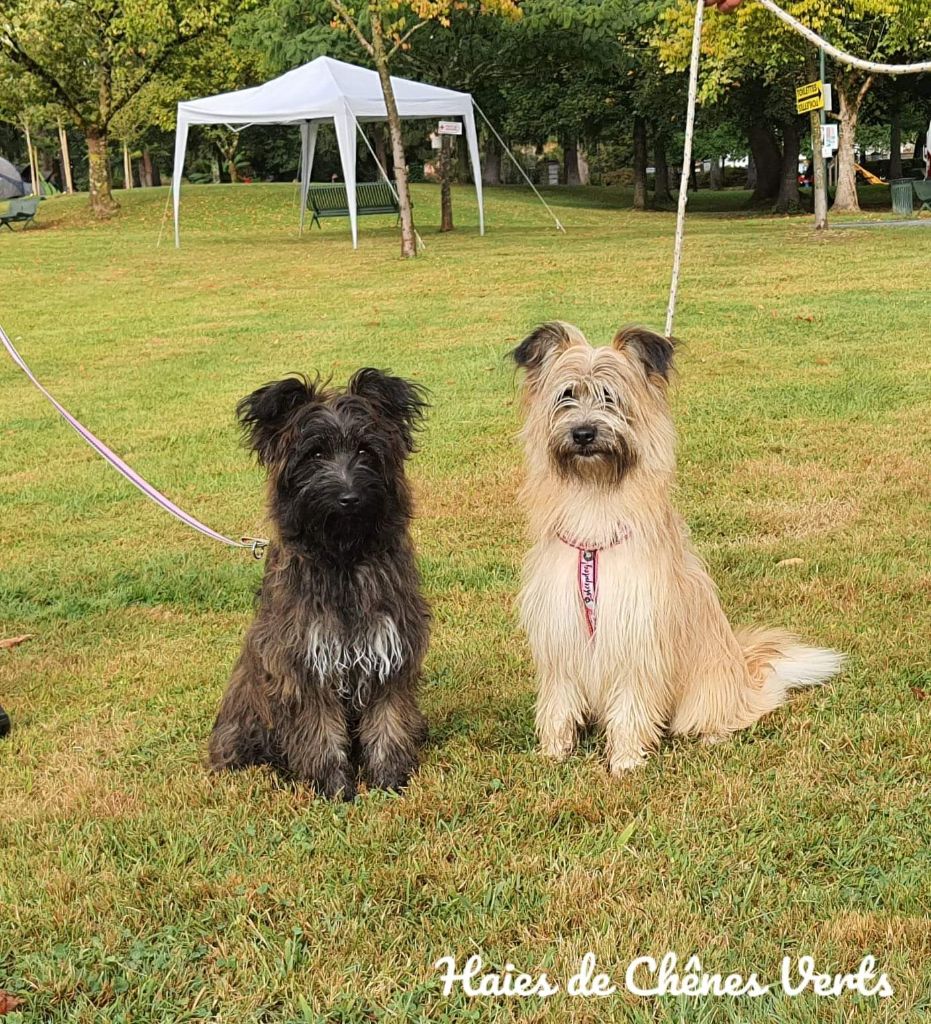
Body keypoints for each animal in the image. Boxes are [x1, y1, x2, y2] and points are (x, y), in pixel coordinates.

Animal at [208, 368, 430, 798]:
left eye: (365, 451)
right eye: (314, 454)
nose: (349, 497)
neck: (343, 558)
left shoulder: (390, 651)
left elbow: (388, 721)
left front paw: (388, 781)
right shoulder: (304, 664)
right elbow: (320, 733)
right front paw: (335, 789)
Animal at [512, 323, 839, 770]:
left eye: (610, 397)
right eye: (566, 395)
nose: (583, 433)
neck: (596, 496)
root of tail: (744, 671)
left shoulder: (637, 632)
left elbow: (631, 706)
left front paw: (626, 761)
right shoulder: (561, 630)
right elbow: (559, 703)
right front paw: (553, 753)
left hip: (707, 687)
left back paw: (714, 734)